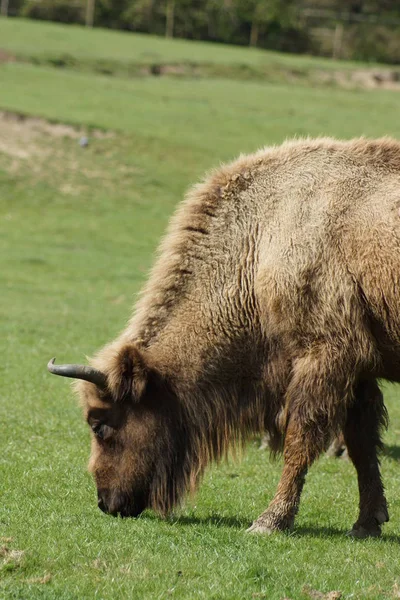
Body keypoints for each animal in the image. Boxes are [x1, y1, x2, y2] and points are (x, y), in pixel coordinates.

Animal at [49, 138, 400, 536]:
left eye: (99, 424)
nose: (105, 503)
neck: (263, 236)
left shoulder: (323, 357)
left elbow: (302, 437)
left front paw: (269, 520)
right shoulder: (358, 371)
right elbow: (361, 442)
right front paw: (366, 523)